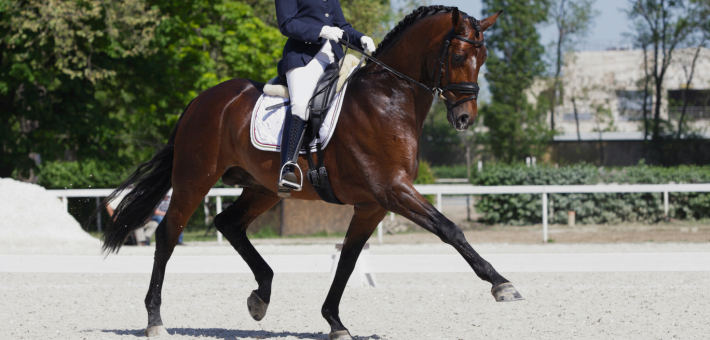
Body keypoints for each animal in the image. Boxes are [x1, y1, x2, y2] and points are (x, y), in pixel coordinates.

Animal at [97, 5, 524, 340]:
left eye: (483, 58)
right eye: (458, 57)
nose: (465, 119)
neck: (388, 99)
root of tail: (202, 100)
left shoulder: (372, 205)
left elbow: (349, 261)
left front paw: (335, 322)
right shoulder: (394, 191)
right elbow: (450, 229)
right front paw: (502, 284)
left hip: (263, 188)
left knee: (228, 223)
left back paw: (261, 296)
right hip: (194, 178)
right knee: (168, 234)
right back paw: (155, 320)